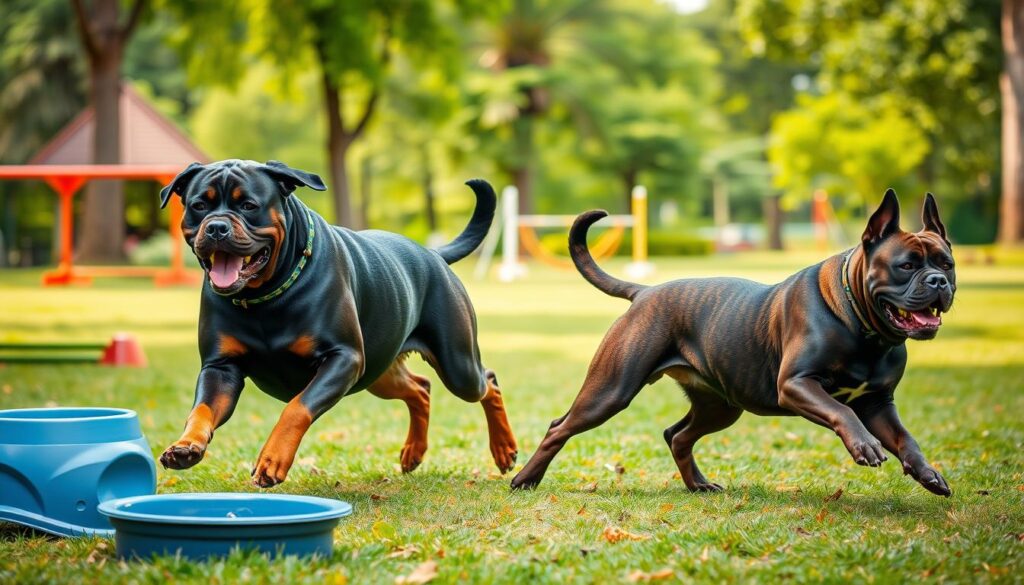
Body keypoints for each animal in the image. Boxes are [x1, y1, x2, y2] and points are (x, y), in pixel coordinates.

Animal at [157, 157, 520, 487]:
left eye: (248, 205)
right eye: (198, 205)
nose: (216, 227)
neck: (267, 296)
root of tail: (433, 254)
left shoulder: (344, 358)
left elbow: (296, 407)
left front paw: (272, 460)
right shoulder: (221, 367)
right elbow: (202, 409)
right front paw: (186, 445)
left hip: (456, 365)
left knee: (487, 382)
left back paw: (504, 449)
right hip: (380, 371)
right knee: (420, 389)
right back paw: (414, 452)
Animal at [516, 189, 954, 495]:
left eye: (947, 263)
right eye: (906, 266)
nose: (940, 282)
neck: (864, 327)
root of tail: (644, 292)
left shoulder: (878, 403)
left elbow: (906, 438)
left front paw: (927, 473)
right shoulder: (796, 384)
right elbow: (842, 412)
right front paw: (864, 446)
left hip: (721, 406)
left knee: (677, 435)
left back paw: (698, 485)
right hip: (611, 390)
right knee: (559, 427)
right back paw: (524, 479)